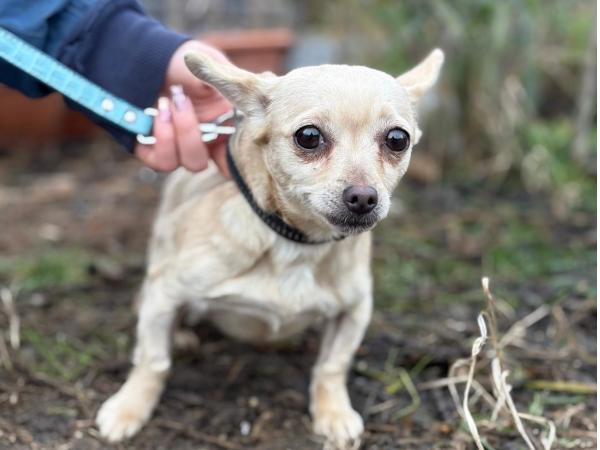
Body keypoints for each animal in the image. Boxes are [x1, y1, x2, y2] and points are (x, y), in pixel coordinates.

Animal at [96, 48, 443, 448]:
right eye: (309, 136)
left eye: (397, 139)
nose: (363, 197)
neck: (296, 244)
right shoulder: (164, 294)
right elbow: (153, 360)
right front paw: (129, 407)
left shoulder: (355, 311)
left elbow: (332, 365)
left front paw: (334, 413)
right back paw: (179, 335)